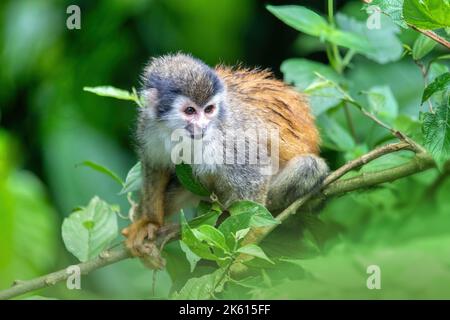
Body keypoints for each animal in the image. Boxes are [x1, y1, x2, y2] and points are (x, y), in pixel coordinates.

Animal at [122, 53, 326, 258]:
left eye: (209, 109)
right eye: (190, 111)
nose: (203, 126)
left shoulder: (231, 138)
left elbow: (254, 184)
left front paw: (243, 256)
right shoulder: (148, 124)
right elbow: (155, 166)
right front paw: (150, 222)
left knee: (309, 166)